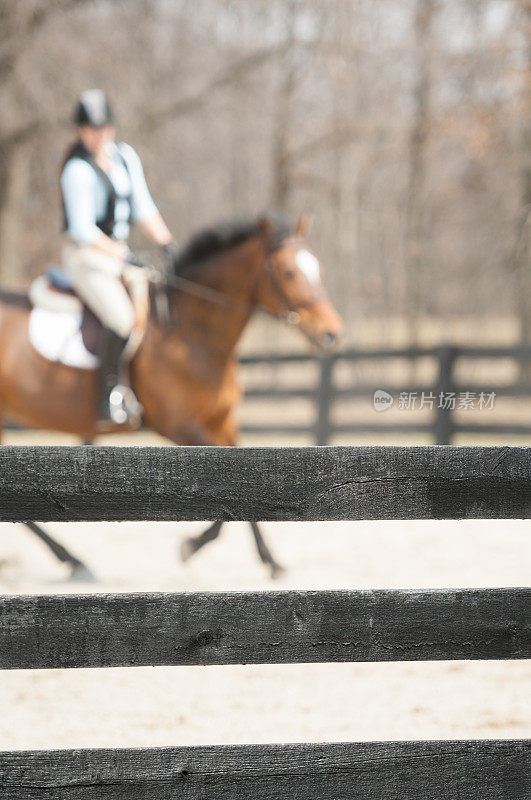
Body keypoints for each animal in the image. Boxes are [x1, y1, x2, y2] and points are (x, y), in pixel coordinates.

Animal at [0, 216, 344, 580]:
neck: (191, 334)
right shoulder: (180, 426)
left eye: (318, 269)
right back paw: (72, 559)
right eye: (289, 272)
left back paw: (71, 559)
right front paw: (191, 545)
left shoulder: (221, 421)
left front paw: (271, 561)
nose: (331, 333)